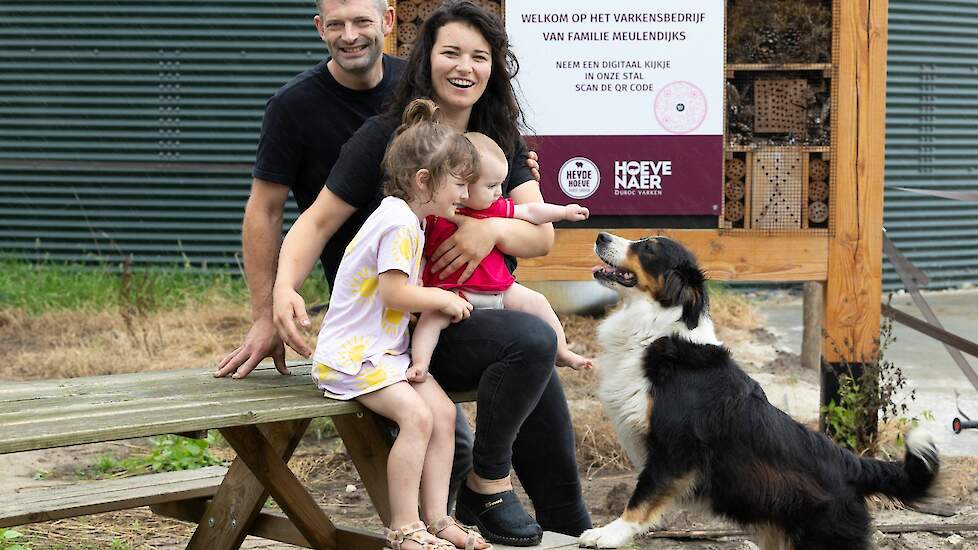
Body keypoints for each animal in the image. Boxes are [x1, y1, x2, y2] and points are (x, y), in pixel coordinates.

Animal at [580, 233, 936, 550]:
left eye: (649, 248)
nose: (599, 236)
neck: (656, 329)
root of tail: (854, 465)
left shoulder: (675, 450)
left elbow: (642, 497)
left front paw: (608, 534)